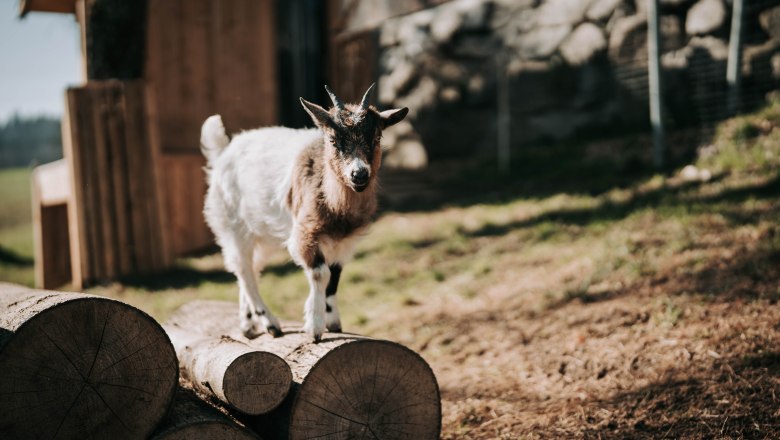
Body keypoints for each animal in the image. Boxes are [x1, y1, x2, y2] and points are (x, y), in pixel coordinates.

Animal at [200, 84, 408, 341]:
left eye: (377, 137)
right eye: (332, 139)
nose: (359, 175)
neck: (336, 207)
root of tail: (222, 154)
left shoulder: (345, 242)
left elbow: (335, 276)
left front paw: (333, 322)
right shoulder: (305, 233)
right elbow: (320, 273)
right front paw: (315, 327)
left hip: (264, 234)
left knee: (251, 268)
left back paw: (248, 325)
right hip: (233, 225)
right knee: (243, 269)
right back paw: (270, 323)